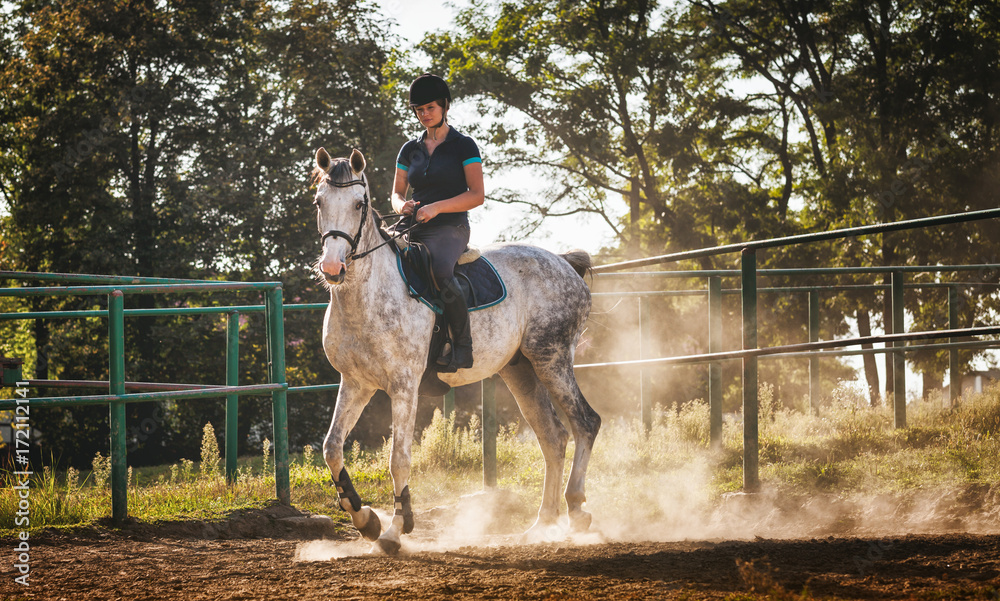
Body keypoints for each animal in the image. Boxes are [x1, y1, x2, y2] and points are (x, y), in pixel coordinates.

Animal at [310, 148, 600, 552]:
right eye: (319, 202)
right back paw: (542, 523)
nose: (332, 267)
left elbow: (399, 459)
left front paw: (396, 529)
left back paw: (576, 510)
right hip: (520, 369)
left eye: (357, 204)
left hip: (551, 359)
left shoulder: (404, 386)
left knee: (585, 422)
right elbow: (332, 447)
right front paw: (365, 519)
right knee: (553, 437)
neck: (368, 295)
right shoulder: (356, 383)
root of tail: (564, 262)